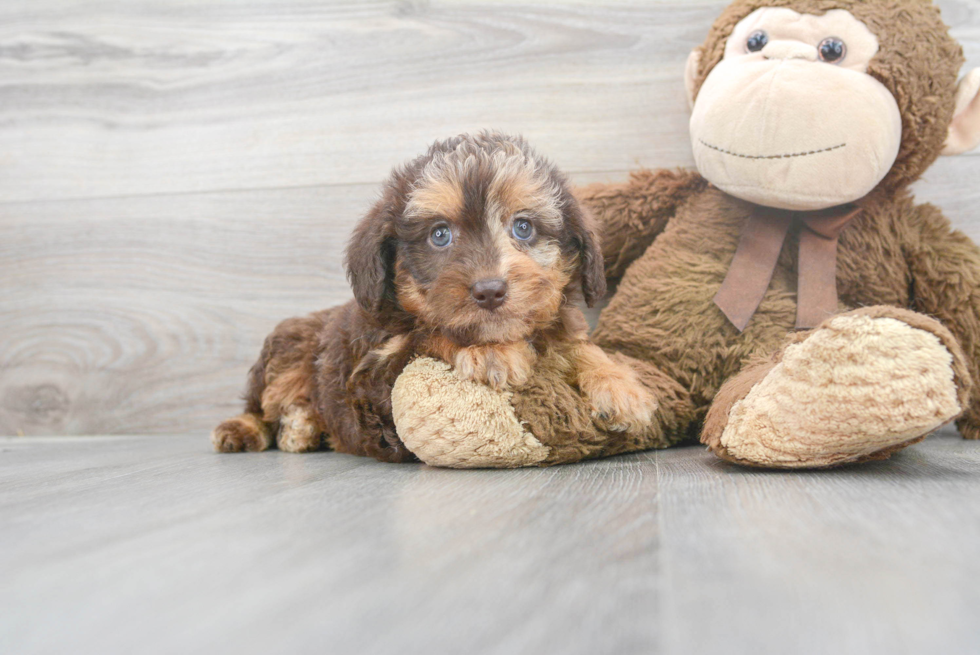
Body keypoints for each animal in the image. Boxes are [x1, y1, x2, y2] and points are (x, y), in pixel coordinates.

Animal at [211, 132, 656, 462]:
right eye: (440, 234)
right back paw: (251, 428)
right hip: (286, 349)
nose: (489, 290)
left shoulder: (560, 326)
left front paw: (621, 386)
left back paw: (301, 426)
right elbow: (428, 333)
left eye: (523, 227)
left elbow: (578, 346)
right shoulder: (372, 377)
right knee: (259, 403)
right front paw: (486, 349)